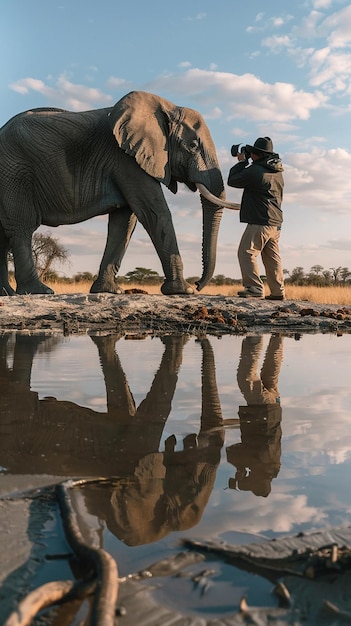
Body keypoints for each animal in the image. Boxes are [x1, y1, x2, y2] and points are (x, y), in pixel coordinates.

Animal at [0, 89, 236, 296]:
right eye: (193, 145)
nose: (198, 284)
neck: (166, 107)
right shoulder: (127, 159)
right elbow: (154, 212)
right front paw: (182, 291)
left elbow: (124, 221)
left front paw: (110, 291)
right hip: (15, 173)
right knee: (22, 227)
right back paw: (38, 291)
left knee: (4, 235)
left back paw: (6, 293)